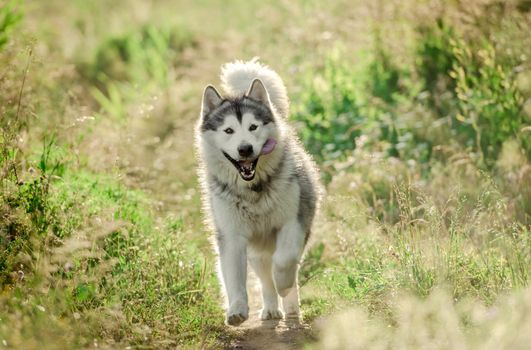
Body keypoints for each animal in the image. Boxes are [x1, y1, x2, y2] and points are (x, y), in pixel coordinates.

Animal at [195, 58, 320, 326]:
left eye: (253, 127)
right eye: (228, 130)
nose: (245, 149)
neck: (254, 190)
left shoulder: (293, 222)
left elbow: (284, 261)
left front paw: (284, 285)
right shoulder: (232, 236)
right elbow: (235, 279)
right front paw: (237, 310)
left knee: (283, 269)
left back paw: (290, 306)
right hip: (255, 252)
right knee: (264, 279)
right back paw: (271, 308)